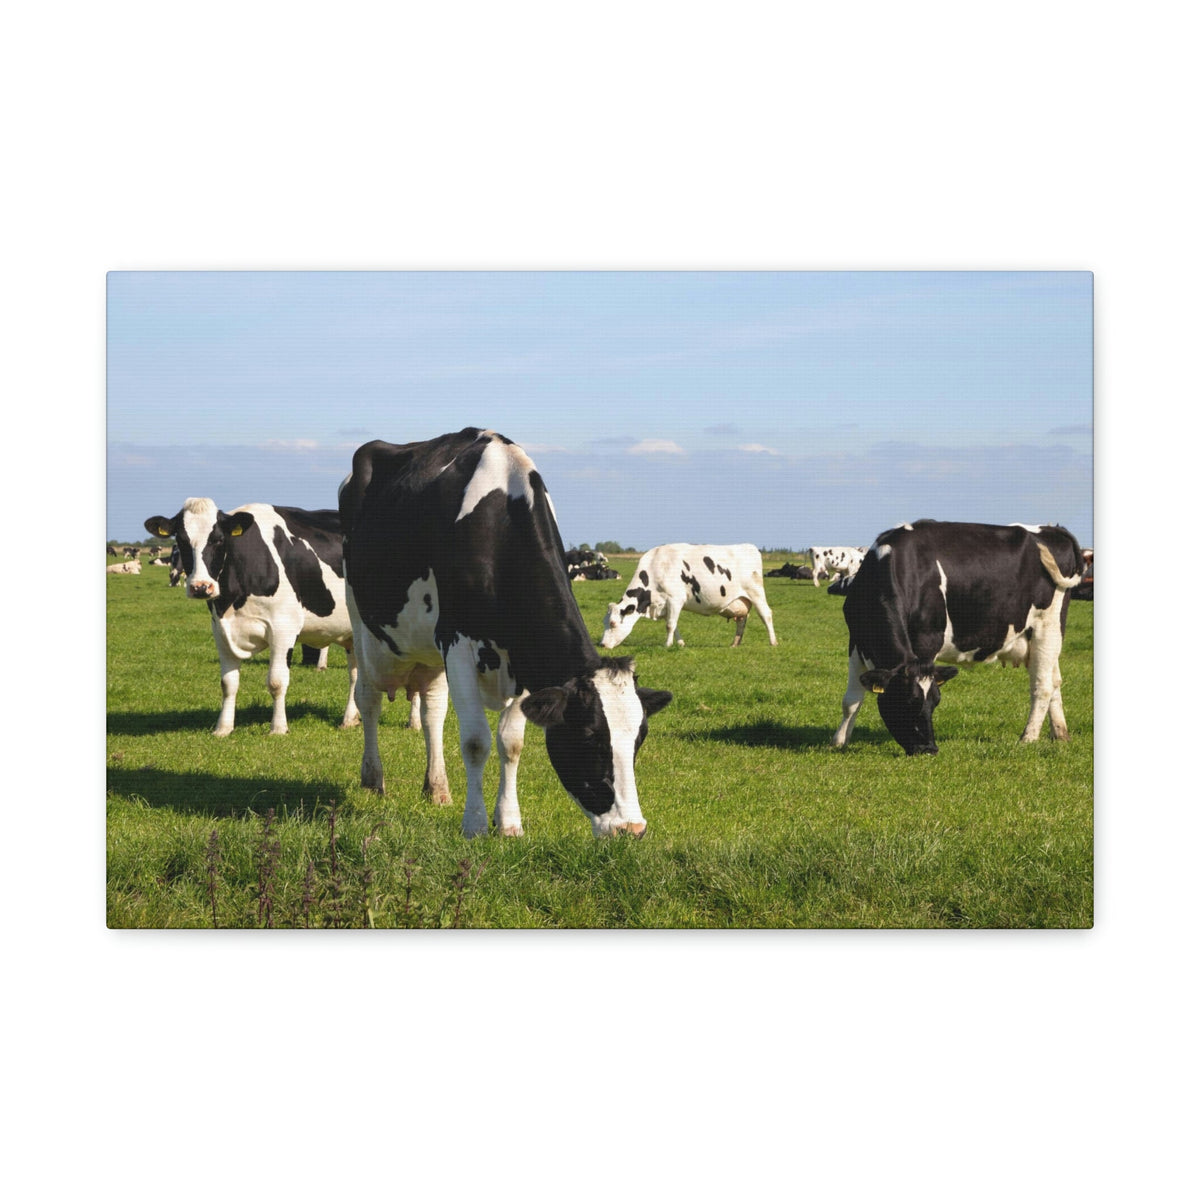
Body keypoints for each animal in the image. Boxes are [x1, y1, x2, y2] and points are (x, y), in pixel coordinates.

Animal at [143, 499, 360, 736]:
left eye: (219, 540)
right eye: (181, 540)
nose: (200, 587)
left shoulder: (283, 628)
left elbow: (276, 681)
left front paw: (278, 728)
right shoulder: (220, 630)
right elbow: (228, 683)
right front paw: (223, 728)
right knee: (356, 674)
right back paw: (350, 719)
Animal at [338, 427, 672, 839]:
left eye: (640, 738)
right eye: (589, 737)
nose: (632, 828)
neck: (499, 525)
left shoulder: (525, 655)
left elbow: (511, 743)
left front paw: (509, 822)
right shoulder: (456, 642)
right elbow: (475, 741)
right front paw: (476, 824)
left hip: (429, 652)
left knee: (432, 711)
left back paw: (437, 787)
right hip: (362, 623)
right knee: (368, 697)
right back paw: (373, 778)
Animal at [600, 543, 777, 649]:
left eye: (613, 623)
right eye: (604, 622)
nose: (602, 645)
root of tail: (749, 546)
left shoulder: (675, 598)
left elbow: (670, 625)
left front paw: (667, 645)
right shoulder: (666, 604)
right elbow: (674, 625)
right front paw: (680, 643)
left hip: (756, 592)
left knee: (766, 615)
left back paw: (773, 642)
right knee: (741, 620)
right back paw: (734, 644)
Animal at [832, 520, 1084, 756]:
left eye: (936, 702)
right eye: (908, 701)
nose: (929, 748)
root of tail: (1052, 529)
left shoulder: (927, 641)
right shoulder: (856, 641)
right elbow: (851, 700)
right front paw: (839, 741)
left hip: (1048, 626)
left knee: (1042, 686)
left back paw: (1028, 738)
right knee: (1055, 681)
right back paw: (1060, 734)